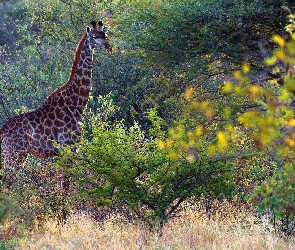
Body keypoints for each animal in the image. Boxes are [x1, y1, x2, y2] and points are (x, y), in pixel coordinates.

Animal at [0, 21, 112, 186]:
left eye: (105, 35)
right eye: (95, 37)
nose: (109, 47)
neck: (76, 105)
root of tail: (3, 131)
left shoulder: (66, 151)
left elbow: (61, 183)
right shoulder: (67, 147)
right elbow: (65, 185)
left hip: (14, 154)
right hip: (15, 153)